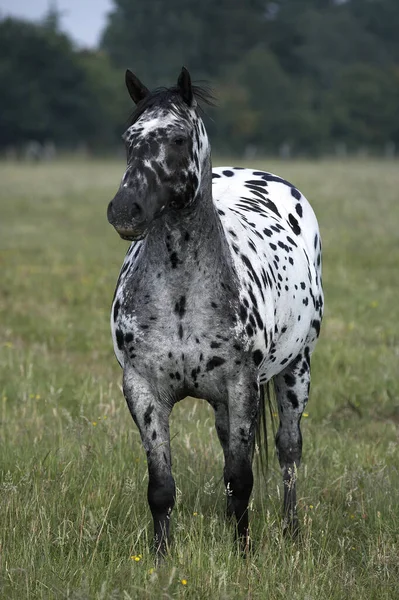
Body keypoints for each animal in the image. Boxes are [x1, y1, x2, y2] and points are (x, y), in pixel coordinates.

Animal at [107, 67, 324, 556]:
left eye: (178, 138)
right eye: (129, 138)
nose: (125, 210)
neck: (182, 295)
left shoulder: (241, 386)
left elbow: (242, 478)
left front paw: (243, 552)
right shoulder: (143, 390)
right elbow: (161, 487)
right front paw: (161, 557)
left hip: (296, 369)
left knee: (288, 449)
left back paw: (291, 529)